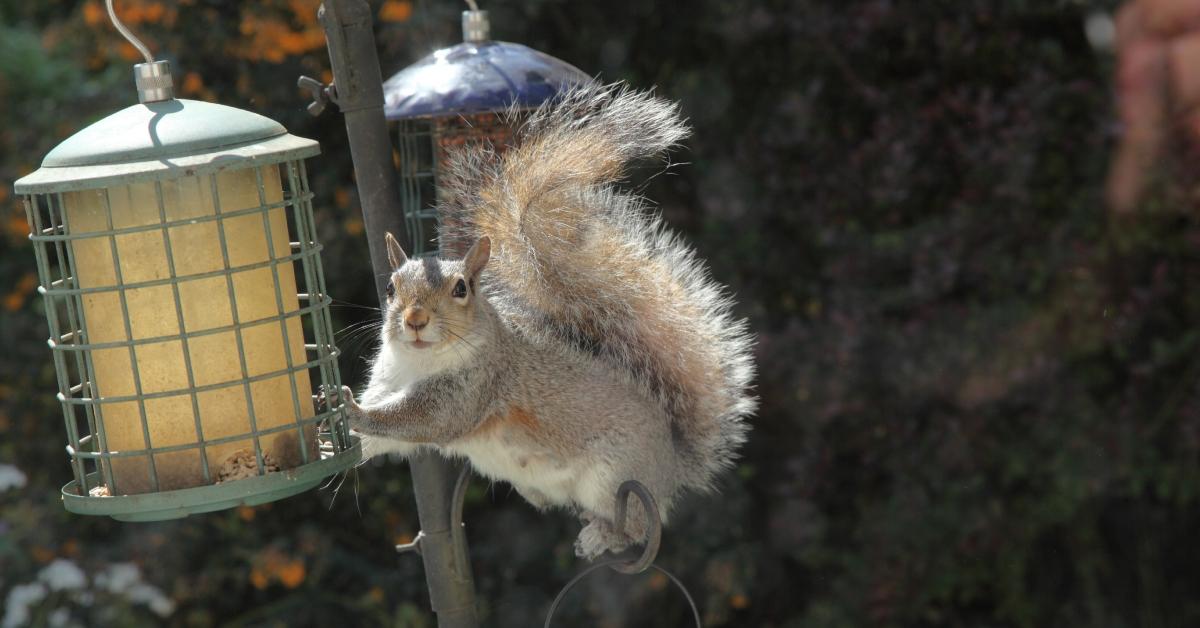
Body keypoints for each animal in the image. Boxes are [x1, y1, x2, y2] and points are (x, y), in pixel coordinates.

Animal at [341, 82, 757, 560]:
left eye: (462, 288)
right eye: (391, 288)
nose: (414, 319)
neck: (418, 361)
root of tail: (671, 466)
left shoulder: (477, 385)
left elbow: (422, 420)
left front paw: (353, 412)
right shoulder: (388, 379)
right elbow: (383, 437)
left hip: (614, 477)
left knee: (636, 527)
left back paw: (601, 536)